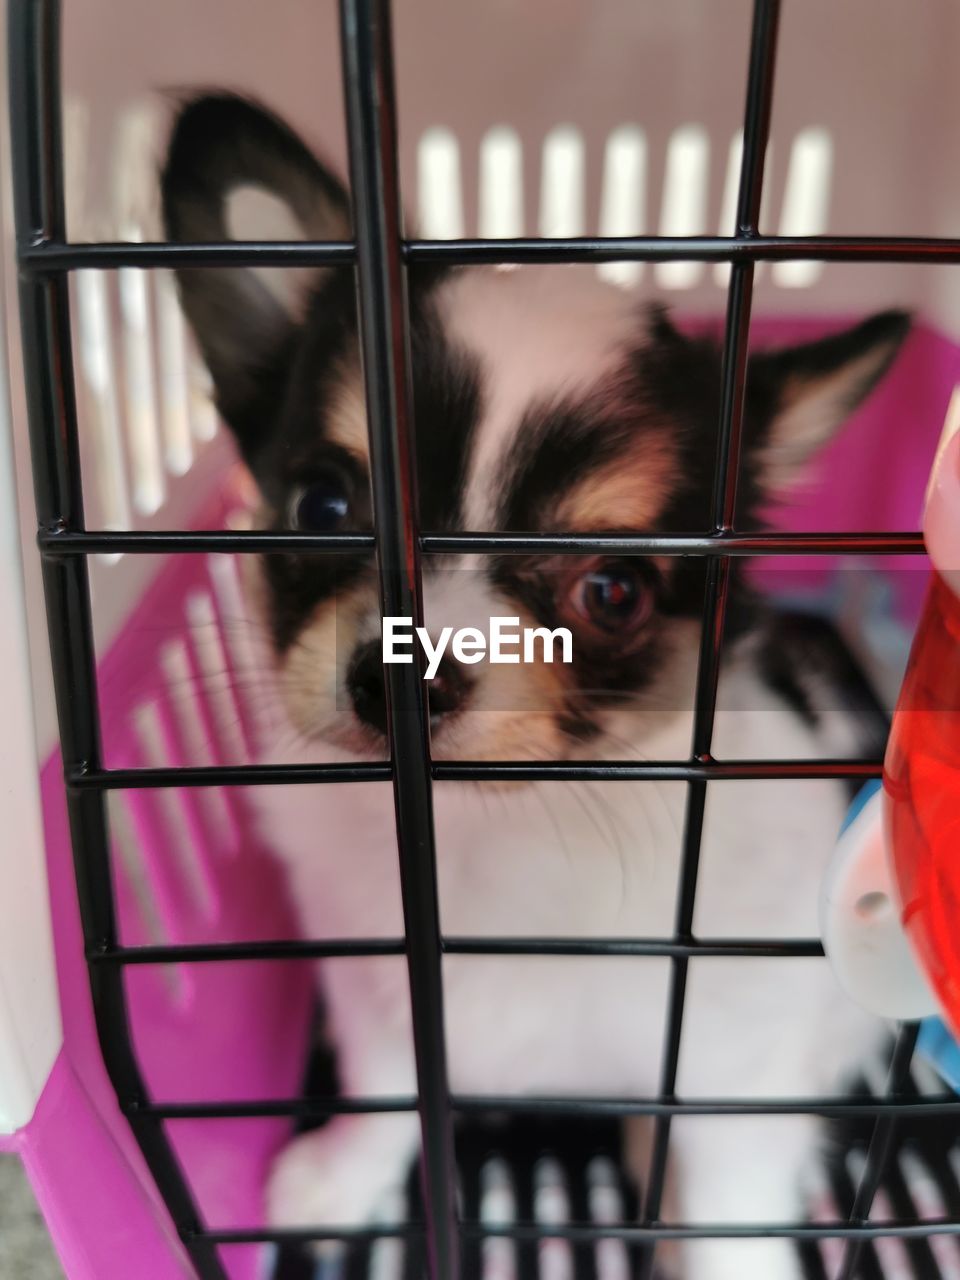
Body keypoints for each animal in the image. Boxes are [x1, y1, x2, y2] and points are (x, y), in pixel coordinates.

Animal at [161, 92, 911, 1280]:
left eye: (614, 590)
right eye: (323, 507)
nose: (399, 670)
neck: (494, 828)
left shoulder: (737, 1051)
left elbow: (727, 1190)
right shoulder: (380, 997)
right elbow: (387, 1095)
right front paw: (342, 1176)